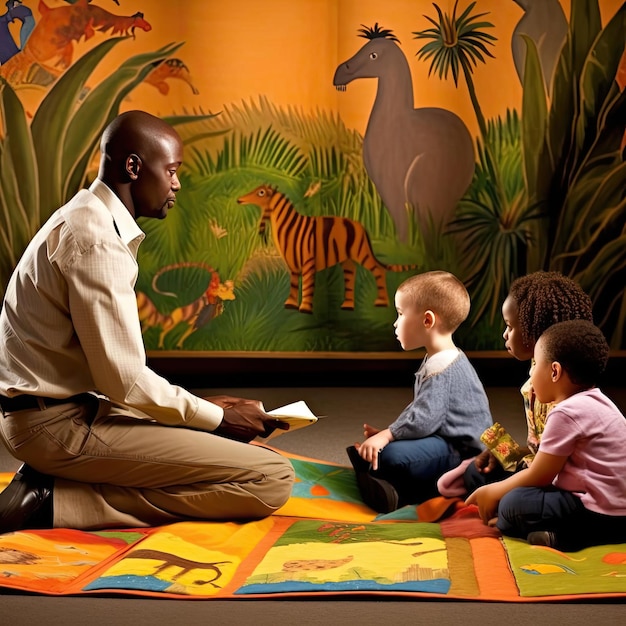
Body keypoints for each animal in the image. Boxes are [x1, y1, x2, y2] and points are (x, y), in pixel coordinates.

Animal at [236, 184, 416, 312]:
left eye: (261, 193)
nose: (239, 200)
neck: (288, 227)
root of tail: (361, 226)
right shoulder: (292, 264)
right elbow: (293, 285)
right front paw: (290, 305)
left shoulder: (308, 261)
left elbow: (307, 286)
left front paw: (305, 308)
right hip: (346, 259)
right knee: (351, 275)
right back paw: (347, 306)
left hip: (361, 252)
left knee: (378, 270)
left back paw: (381, 302)